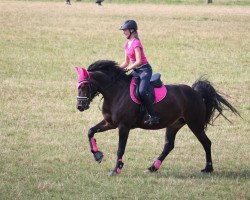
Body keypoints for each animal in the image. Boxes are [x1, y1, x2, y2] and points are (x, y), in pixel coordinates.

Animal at [74, 60, 240, 176]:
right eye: (78, 86)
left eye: (84, 86)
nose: (80, 106)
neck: (115, 93)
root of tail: (196, 93)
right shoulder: (110, 123)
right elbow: (90, 131)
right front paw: (98, 155)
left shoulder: (123, 126)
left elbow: (120, 148)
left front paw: (116, 169)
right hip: (174, 124)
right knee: (169, 145)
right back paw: (153, 167)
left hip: (195, 124)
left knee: (206, 142)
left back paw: (208, 168)